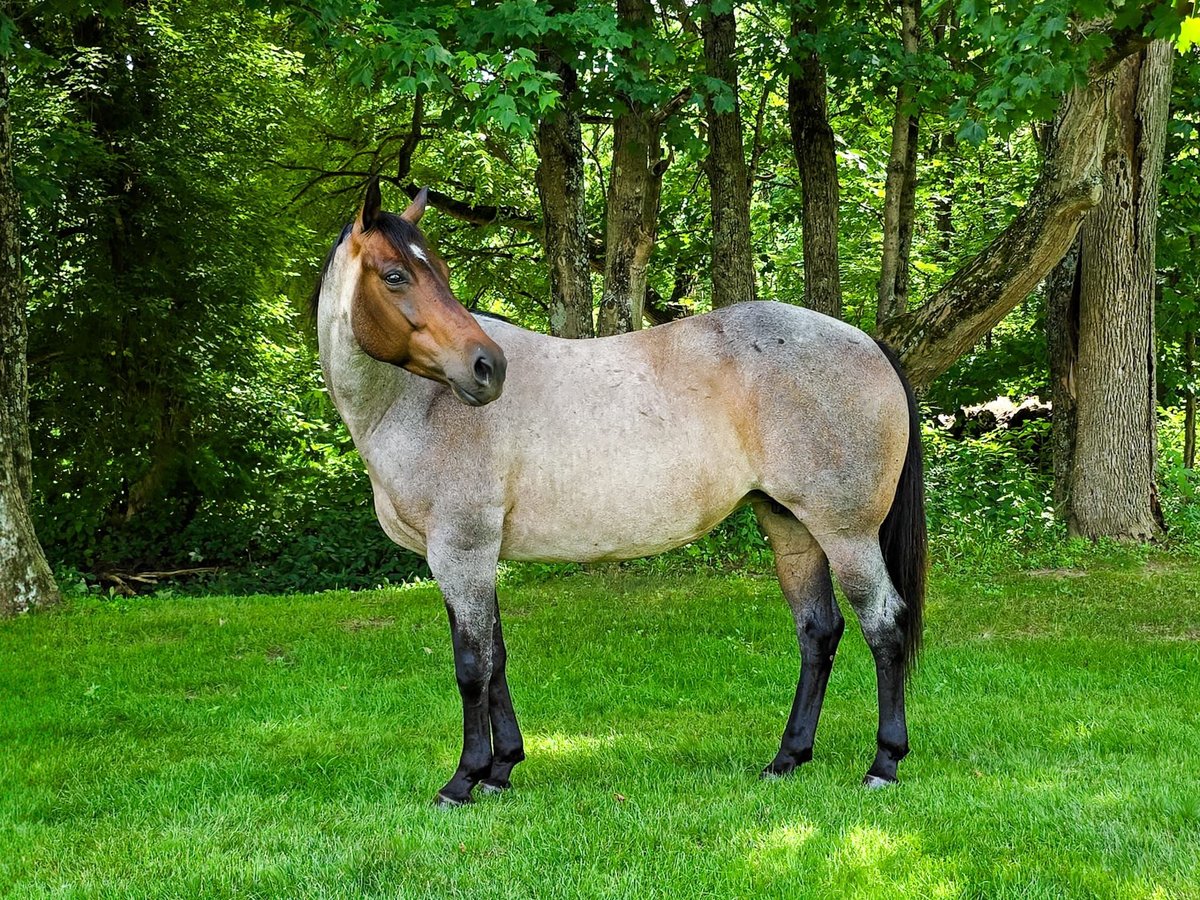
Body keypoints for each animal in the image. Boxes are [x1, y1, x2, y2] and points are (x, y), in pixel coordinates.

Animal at [313, 179, 927, 806]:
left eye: (434, 269)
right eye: (396, 275)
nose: (487, 368)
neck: (421, 404)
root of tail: (865, 342)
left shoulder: (460, 552)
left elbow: (472, 664)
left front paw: (464, 778)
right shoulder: (481, 557)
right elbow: (496, 657)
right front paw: (502, 769)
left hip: (846, 534)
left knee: (884, 624)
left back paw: (884, 762)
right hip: (791, 528)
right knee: (818, 631)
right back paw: (788, 758)